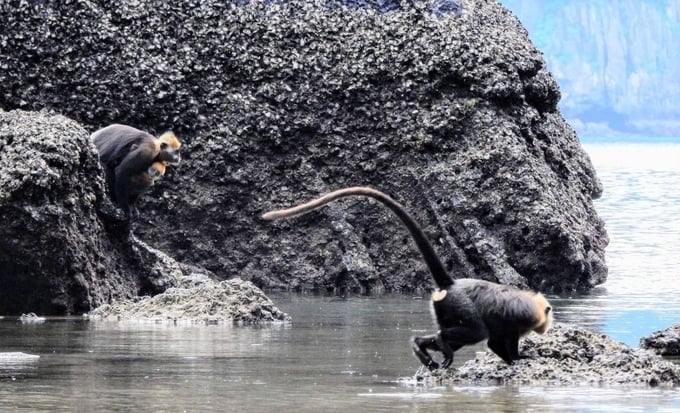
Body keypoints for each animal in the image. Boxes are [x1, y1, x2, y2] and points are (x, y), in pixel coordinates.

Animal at [262, 185, 552, 368]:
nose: (547, 325)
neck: (533, 304)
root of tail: (450, 284)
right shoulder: (521, 318)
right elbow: (494, 341)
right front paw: (517, 359)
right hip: (459, 305)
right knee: (472, 331)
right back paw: (439, 343)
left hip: (444, 306)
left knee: (450, 333)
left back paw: (420, 345)